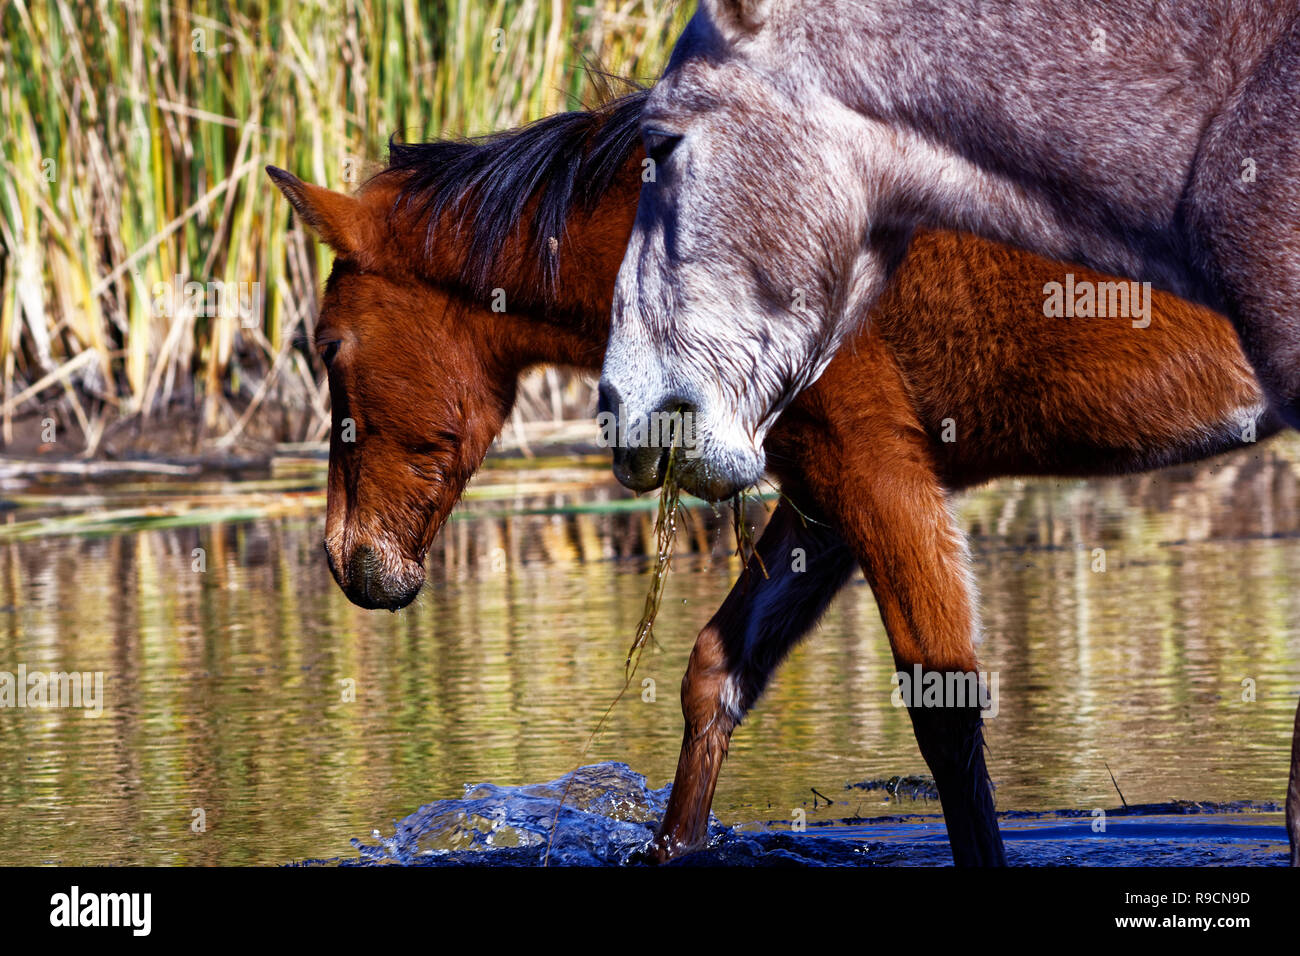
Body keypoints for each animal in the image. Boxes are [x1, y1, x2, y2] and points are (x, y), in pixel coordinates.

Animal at [267, 89, 1290, 865]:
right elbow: (715, 674)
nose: (351, 560)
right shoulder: (819, 493)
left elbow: (945, 713)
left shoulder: (874, 467)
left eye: (327, 346)